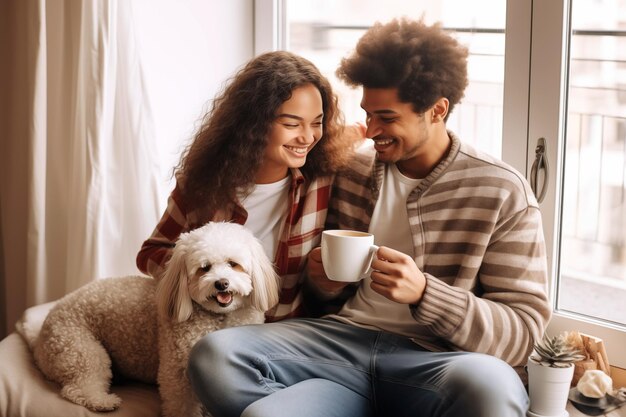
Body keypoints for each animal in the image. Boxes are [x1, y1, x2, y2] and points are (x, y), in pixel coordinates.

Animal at [32, 223, 278, 414]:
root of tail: (40, 336)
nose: (221, 283)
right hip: (81, 350)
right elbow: (181, 405)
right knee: (78, 386)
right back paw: (102, 401)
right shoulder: (177, 371)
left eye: (233, 264)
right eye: (204, 268)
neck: (218, 318)